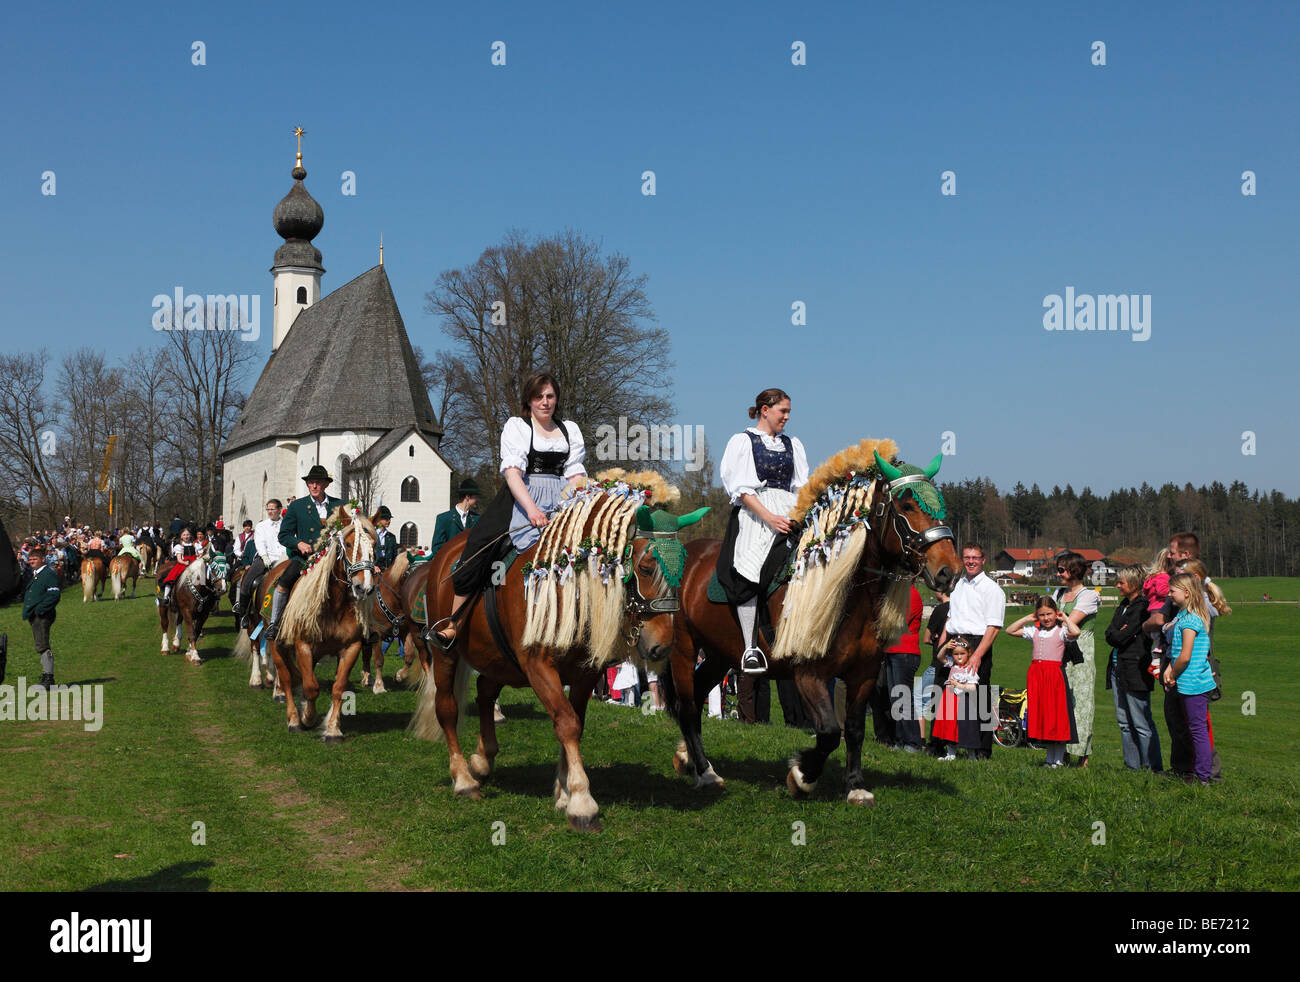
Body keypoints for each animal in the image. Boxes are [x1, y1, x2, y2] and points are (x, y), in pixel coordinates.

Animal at [413, 491, 702, 827]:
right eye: (644, 567)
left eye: (682, 570)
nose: (662, 646)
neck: (569, 590)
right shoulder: (538, 666)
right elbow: (566, 723)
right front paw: (581, 800)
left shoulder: (585, 673)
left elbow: (576, 722)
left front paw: (564, 793)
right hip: (447, 654)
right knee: (447, 708)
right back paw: (463, 779)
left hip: (499, 660)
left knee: (484, 691)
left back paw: (482, 760)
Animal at [665, 444, 961, 806]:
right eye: (906, 505)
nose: (949, 571)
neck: (849, 596)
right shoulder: (809, 674)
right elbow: (830, 732)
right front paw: (802, 775)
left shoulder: (863, 674)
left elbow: (853, 729)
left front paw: (855, 785)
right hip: (683, 648)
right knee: (687, 706)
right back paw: (705, 773)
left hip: (720, 654)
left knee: (694, 699)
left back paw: (691, 759)